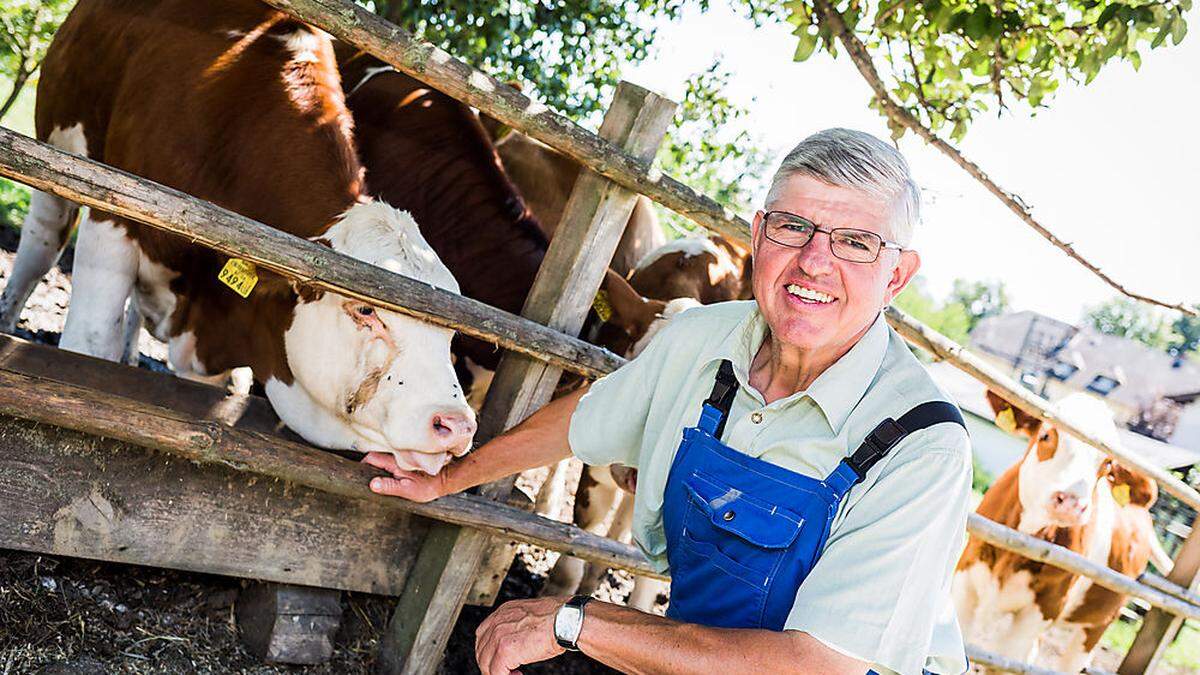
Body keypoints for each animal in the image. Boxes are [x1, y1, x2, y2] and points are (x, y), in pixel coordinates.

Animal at [0, 0, 477, 473]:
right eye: (365, 309)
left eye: (453, 331)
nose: (456, 425)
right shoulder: (113, 212)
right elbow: (89, 348)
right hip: (59, 146)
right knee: (41, 246)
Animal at [950, 389, 1166, 667]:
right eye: (1045, 435)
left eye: (1107, 464)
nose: (1072, 502)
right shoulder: (964, 581)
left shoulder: (1042, 611)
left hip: (1097, 624)